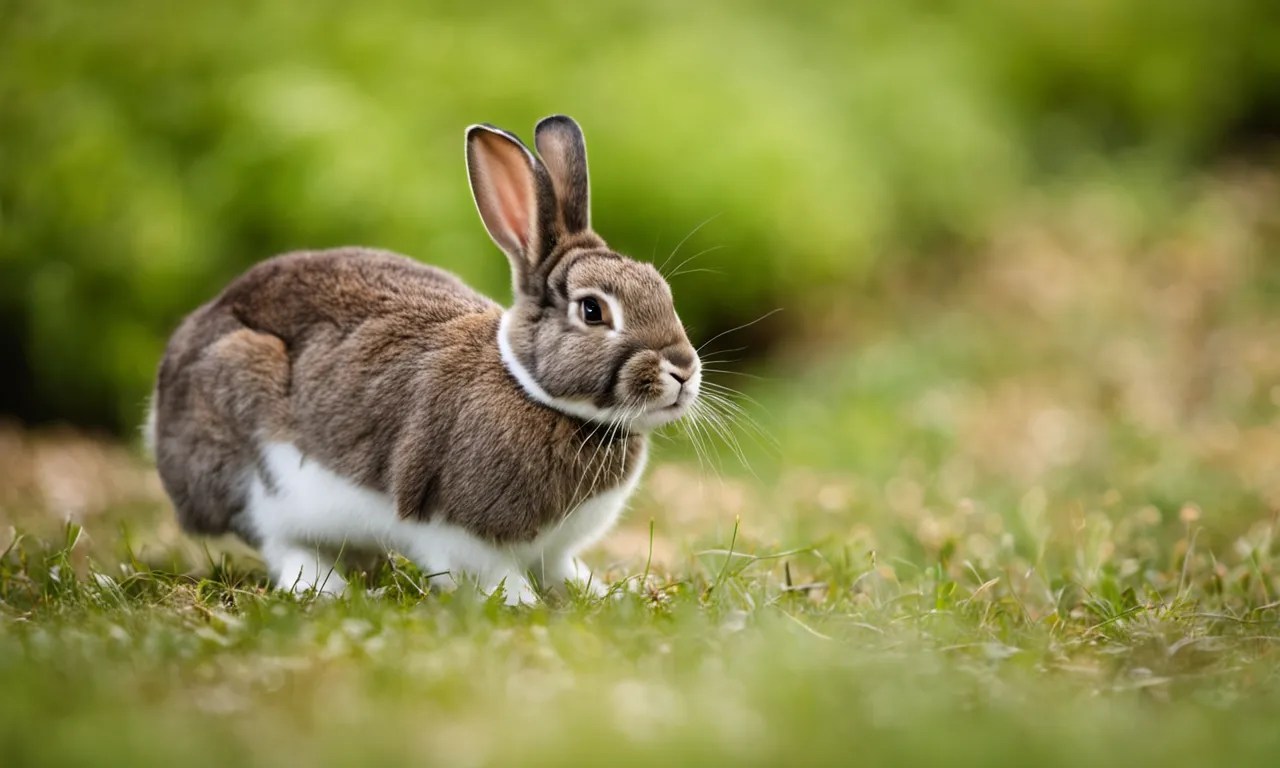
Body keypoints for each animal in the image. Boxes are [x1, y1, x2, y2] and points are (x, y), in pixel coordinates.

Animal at [146, 115, 700, 604]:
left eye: (661, 289)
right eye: (592, 310)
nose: (683, 371)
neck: (535, 393)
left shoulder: (553, 550)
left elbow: (562, 570)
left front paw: (605, 594)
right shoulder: (463, 536)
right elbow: (497, 576)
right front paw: (524, 604)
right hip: (257, 472)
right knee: (283, 546)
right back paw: (330, 589)